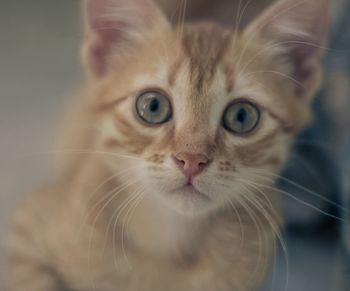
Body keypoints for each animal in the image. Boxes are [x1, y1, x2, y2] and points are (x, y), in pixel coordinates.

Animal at [6, 0, 330, 291]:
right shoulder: (25, 228)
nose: (192, 160)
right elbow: (30, 280)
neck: (169, 241)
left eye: (242, 116)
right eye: (152, 106)